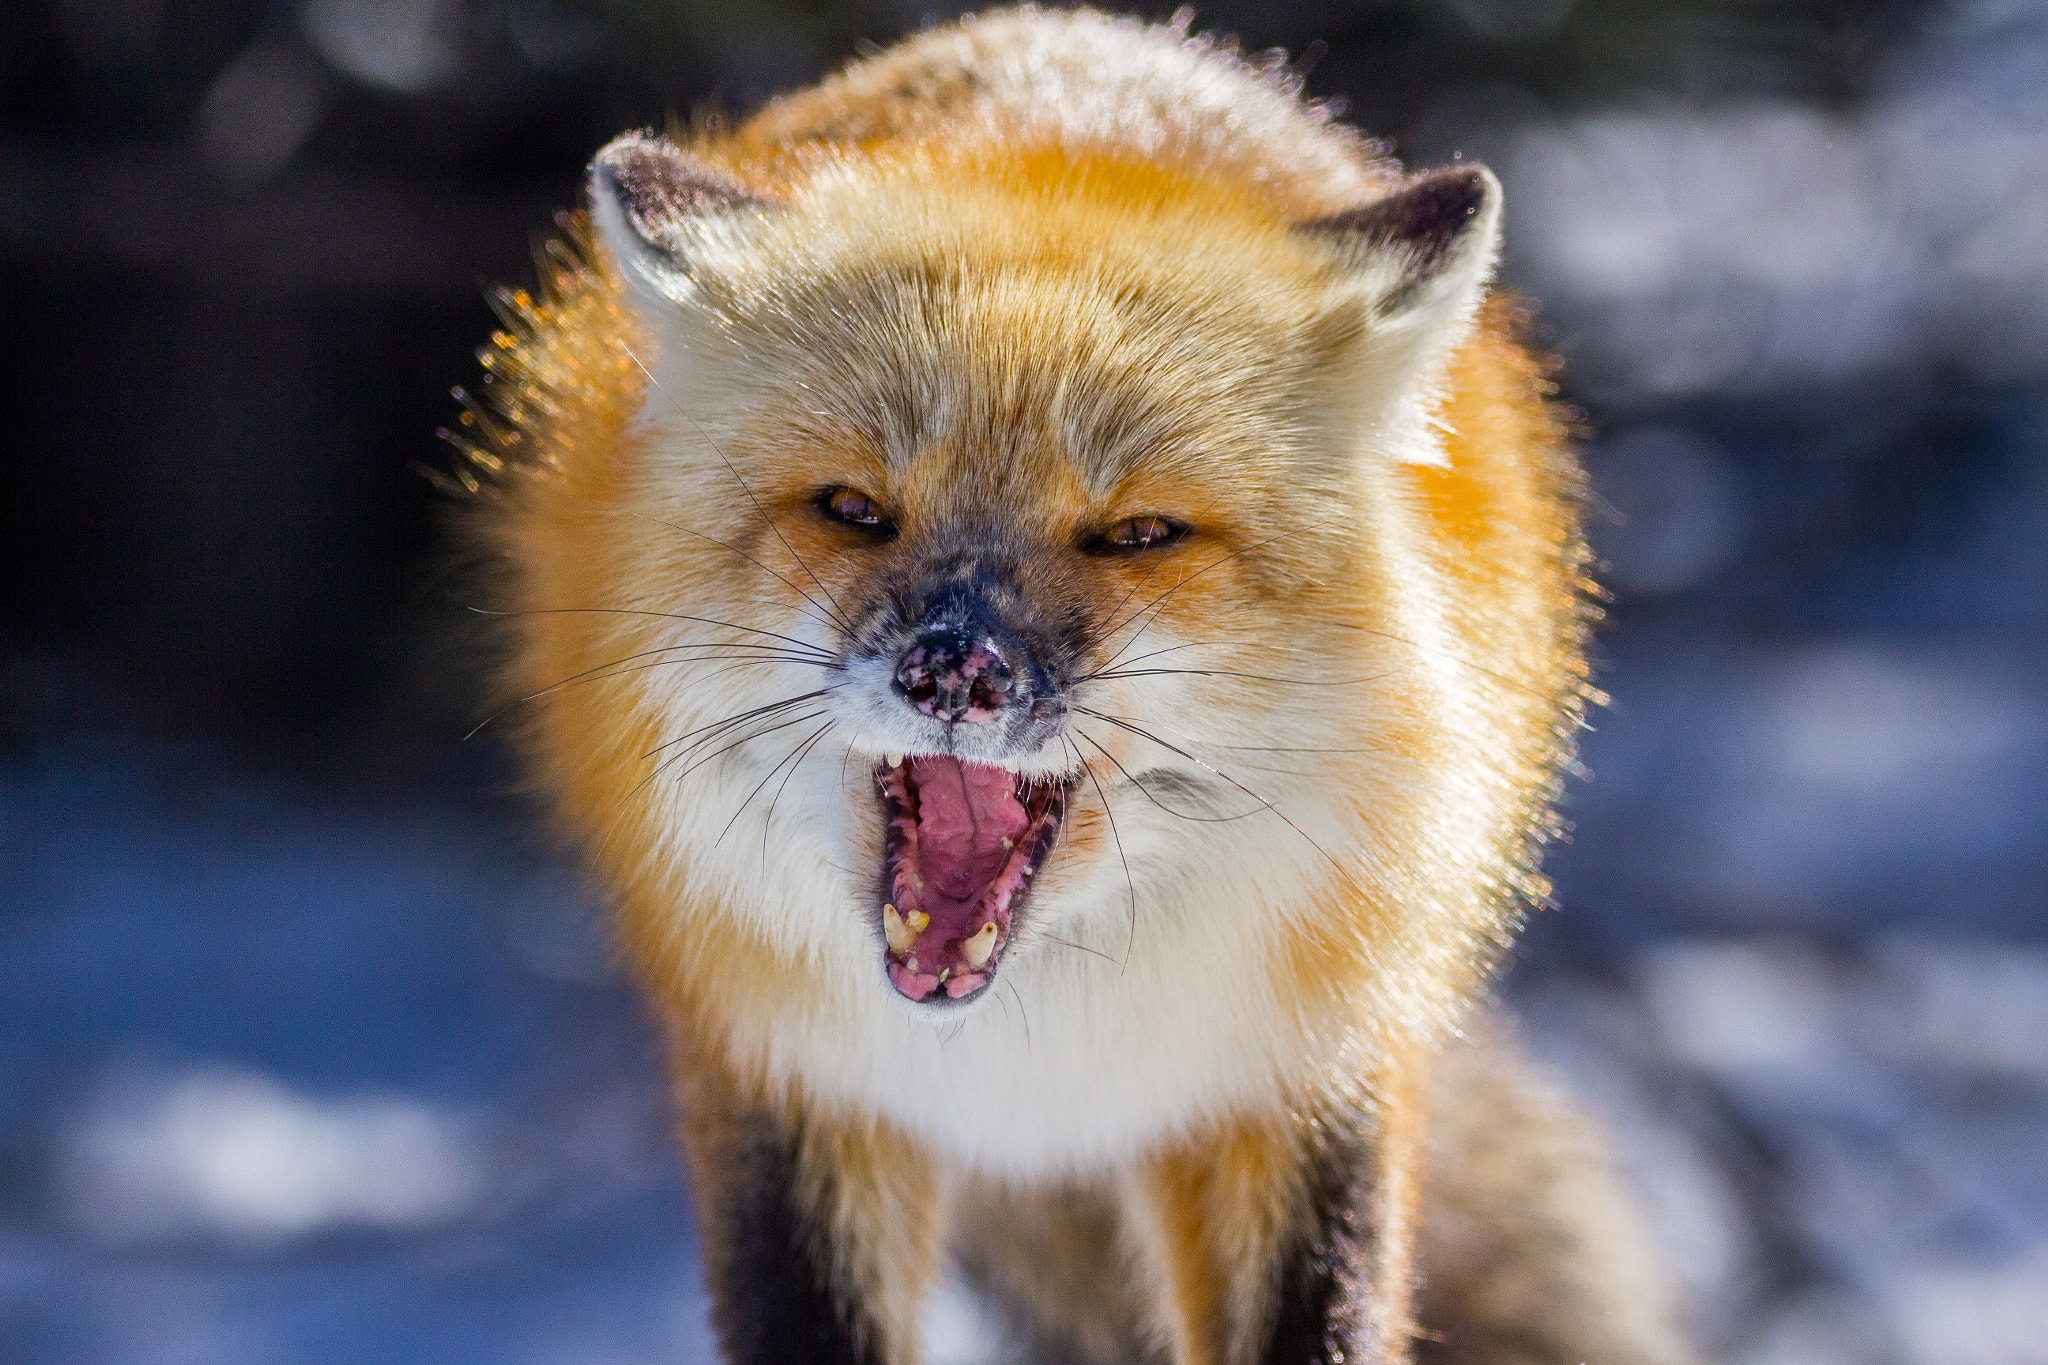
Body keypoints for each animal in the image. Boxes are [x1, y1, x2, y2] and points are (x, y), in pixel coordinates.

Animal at [454, 7, 1697, 1364]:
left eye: (1135, 535)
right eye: (853, 510)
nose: (953, 667)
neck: (1029, 1059)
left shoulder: (1303, 1080)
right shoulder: (783, 1074)